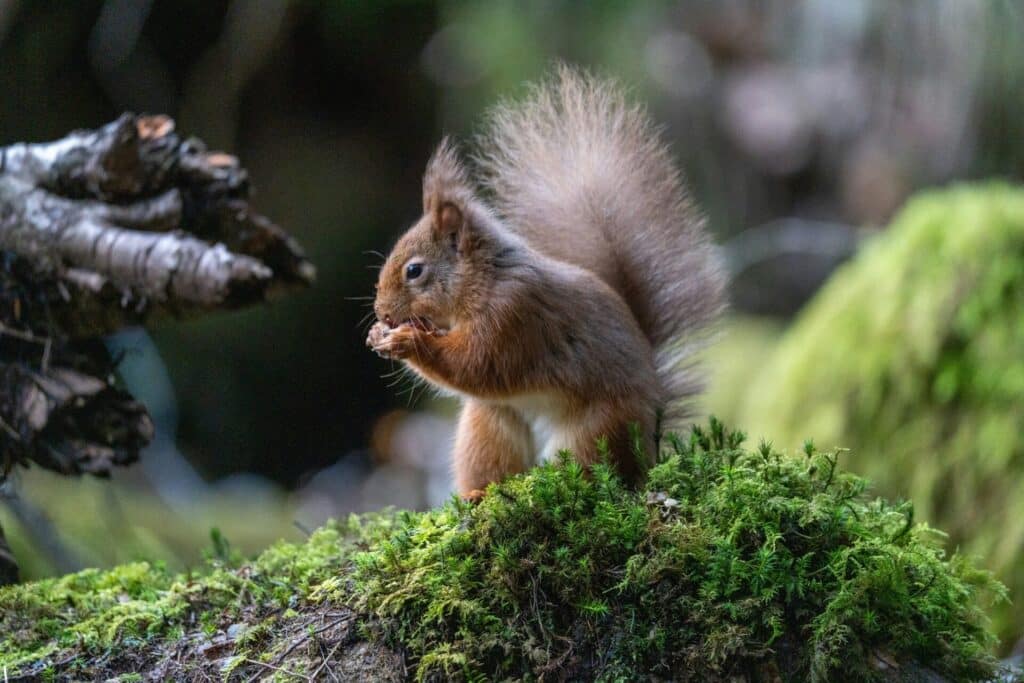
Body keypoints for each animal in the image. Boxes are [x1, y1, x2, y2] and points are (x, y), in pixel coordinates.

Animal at [367, 66, 725, 500]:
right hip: (489, 425)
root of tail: (651, 440)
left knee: (594, 472)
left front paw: (404, 341)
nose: (383, 312)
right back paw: (477, 495)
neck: (484, 279)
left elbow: (474, 365)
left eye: (414, 271)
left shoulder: (513, 315)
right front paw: (377, 333)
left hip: (598, 429)